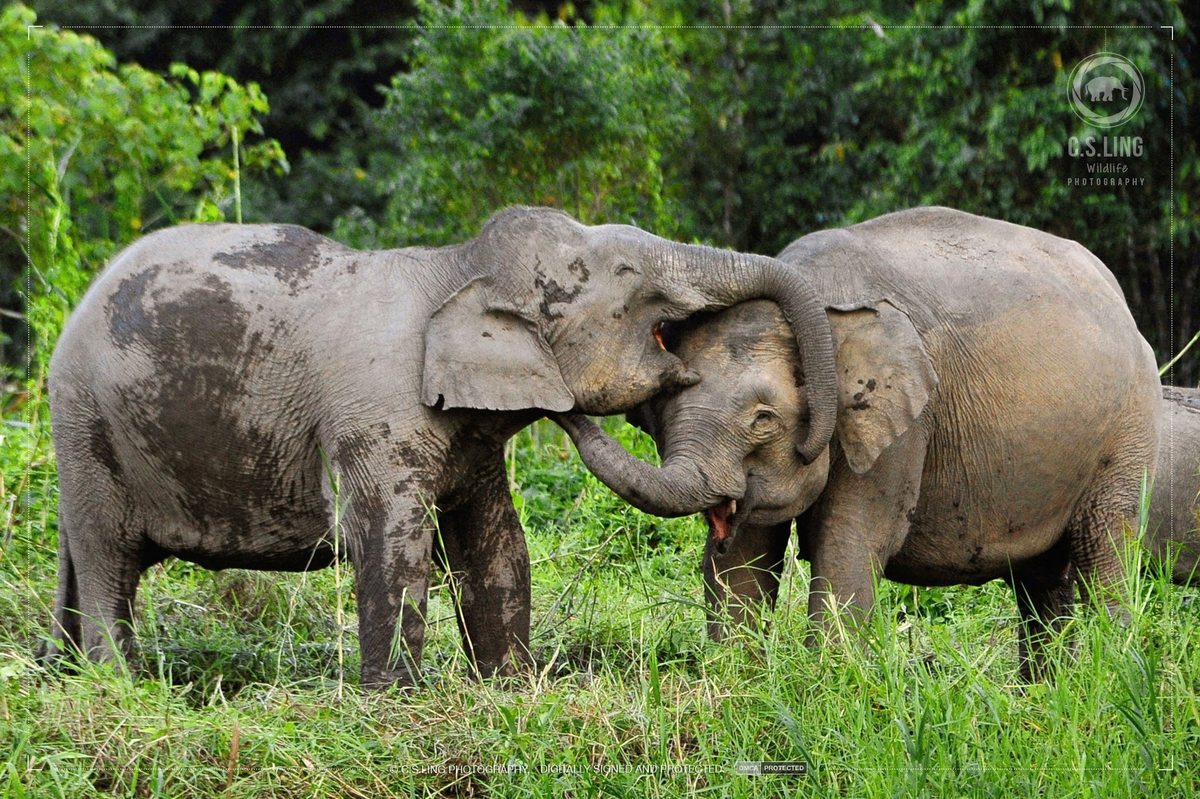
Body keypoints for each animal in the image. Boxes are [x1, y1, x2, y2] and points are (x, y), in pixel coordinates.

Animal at [42, 205, 840, 686]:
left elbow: (496, 540)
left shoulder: (470, 436)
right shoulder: (375, 416)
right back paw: (125, 688)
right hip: (86, 427)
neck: (455, 268)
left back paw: (67, 673)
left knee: (86, 560)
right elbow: (392, 542)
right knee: (109, 556)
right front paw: (395, 703)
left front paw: (511, 690)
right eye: (627, 277)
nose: (808, 440)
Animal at [559, 205, 1161, 676]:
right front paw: (737, 683)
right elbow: (746, 560)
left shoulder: (903, 422)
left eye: (763, 419)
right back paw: (1045, 693)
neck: (813, 302)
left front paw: (830, 687)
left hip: (1130, 426)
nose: (558, 409)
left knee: (1105, 549)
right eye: (657, 414)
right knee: (1041, 577)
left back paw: (1112, 679)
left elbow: (848, 542)